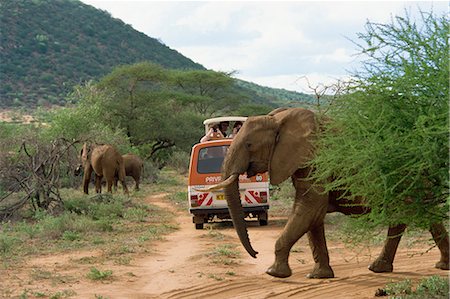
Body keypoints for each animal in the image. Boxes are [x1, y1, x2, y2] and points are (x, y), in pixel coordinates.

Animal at [209, 108, 448, 282]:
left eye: (249, 144)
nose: (256, 253)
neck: (278, 120)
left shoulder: (317, 161)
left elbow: (309, 209)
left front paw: (274, 273)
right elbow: (313, 217)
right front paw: (319, 276)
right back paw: (382, 268)